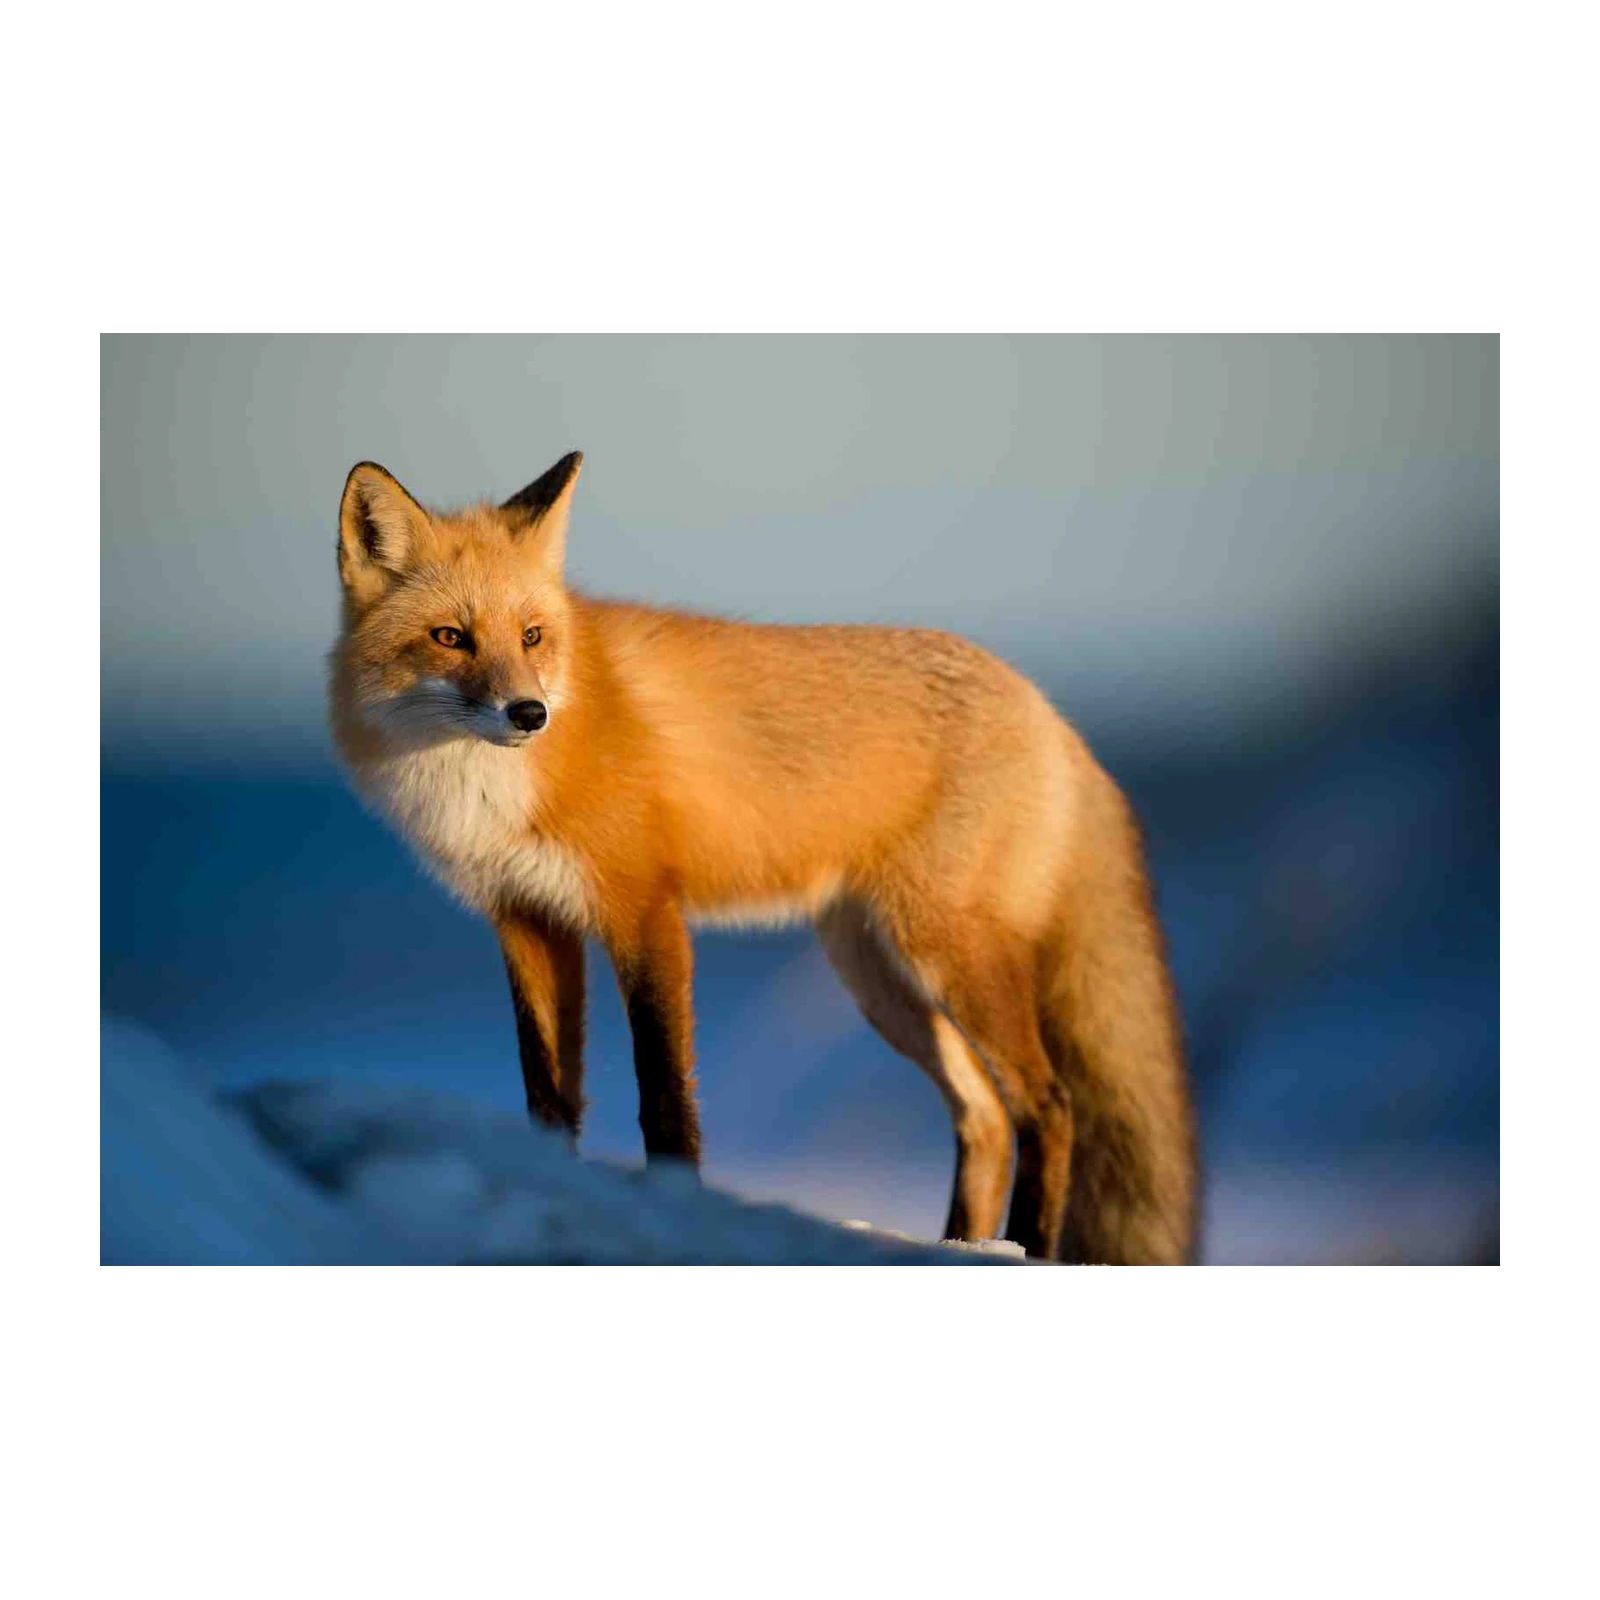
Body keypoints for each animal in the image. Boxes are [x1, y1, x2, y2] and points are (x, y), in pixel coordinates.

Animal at [327, 451, 1198, 1265]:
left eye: (532, 636)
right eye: (451, 637)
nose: (529, 713)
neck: (490, 791)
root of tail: (1049, 712)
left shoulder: (645, 911)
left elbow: (664, 1096)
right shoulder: (528, 920)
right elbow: (548, 1096)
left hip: (947, 955)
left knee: (1049, 1106)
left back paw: (1029, 1247)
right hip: (879, 979)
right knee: (983, 1116)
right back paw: (960, 1245)